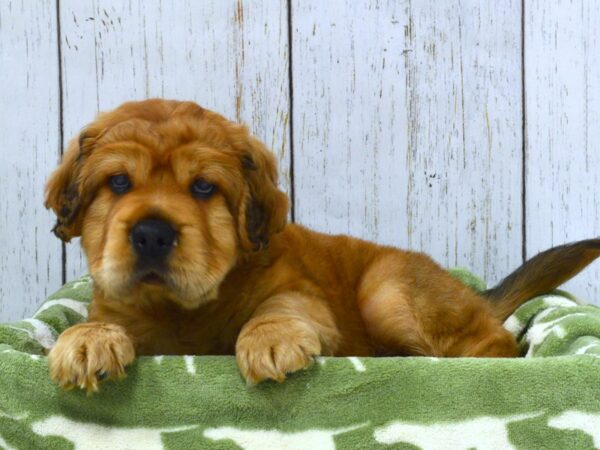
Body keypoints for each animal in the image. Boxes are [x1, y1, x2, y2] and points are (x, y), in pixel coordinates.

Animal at [45, 97, 600, 390]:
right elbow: (104, 320)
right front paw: (87, 340)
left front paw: (269, 341)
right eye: (118, 182)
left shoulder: (303, 296)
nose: (152, 233)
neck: (185, 310)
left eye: (203, 187)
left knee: (497, 347)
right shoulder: (119, 303)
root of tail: (474, 297)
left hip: (386, 293)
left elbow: (278, 309)